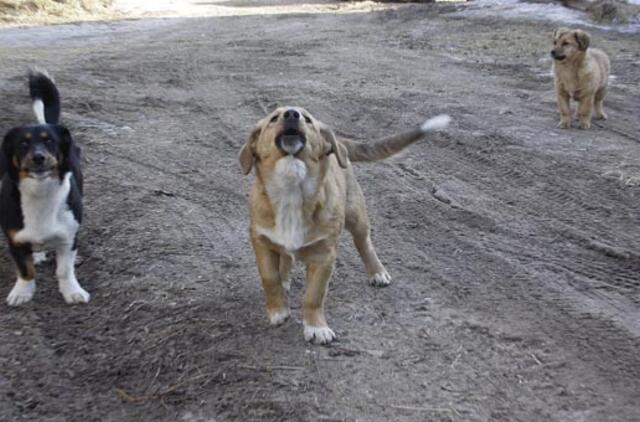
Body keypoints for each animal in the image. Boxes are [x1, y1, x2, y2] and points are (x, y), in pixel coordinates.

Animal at [0, 71, 89, 304]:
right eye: (23, 143)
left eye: (50, 141)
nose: (38, 157)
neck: (41, 192)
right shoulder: (14, 239)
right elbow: (25, 269)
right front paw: (22, 292)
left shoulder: (68, 236)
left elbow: (64, 269)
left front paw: (72, 291)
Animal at [239, 107, 450, 344]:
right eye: (274, 118)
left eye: (308, 119)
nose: (292, 114)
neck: (291, 187)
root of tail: (338, 142)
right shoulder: (260, 241)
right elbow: (270, 278)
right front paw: (278, 311)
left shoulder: (325, 255)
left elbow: (314, 295)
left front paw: (316, 327)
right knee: (285, 256)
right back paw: (285, 277)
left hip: (356, 215)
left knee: (364, 244)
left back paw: (378, 272)